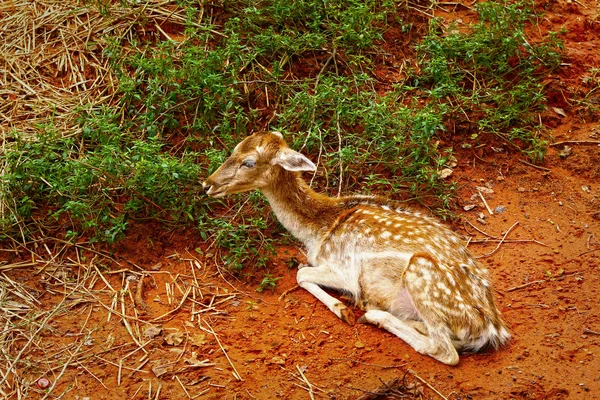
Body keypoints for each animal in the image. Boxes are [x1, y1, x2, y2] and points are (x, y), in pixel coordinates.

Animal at [204, 131, 508, 366]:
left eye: (249, 162)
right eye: (234, 148)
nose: (207, 184)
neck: (318, 230)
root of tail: (492, 330)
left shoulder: (343, 270)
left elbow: (301, 274)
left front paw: (342, 309)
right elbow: (302, 270)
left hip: (422, 273)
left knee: (445, 350)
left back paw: (372, 314)